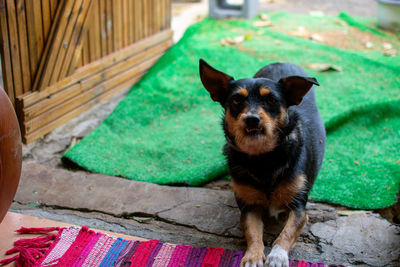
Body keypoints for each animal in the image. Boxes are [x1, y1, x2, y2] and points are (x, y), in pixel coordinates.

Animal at [198, 59, 326, 267]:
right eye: (236, 100)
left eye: (272, 100)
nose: (252, 119)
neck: (263, 158)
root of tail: (282, 61)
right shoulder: (249, 207)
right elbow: (253, 232)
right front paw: (253, 256)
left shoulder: (299, 208)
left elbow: (286, 233)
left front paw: (277, 256)